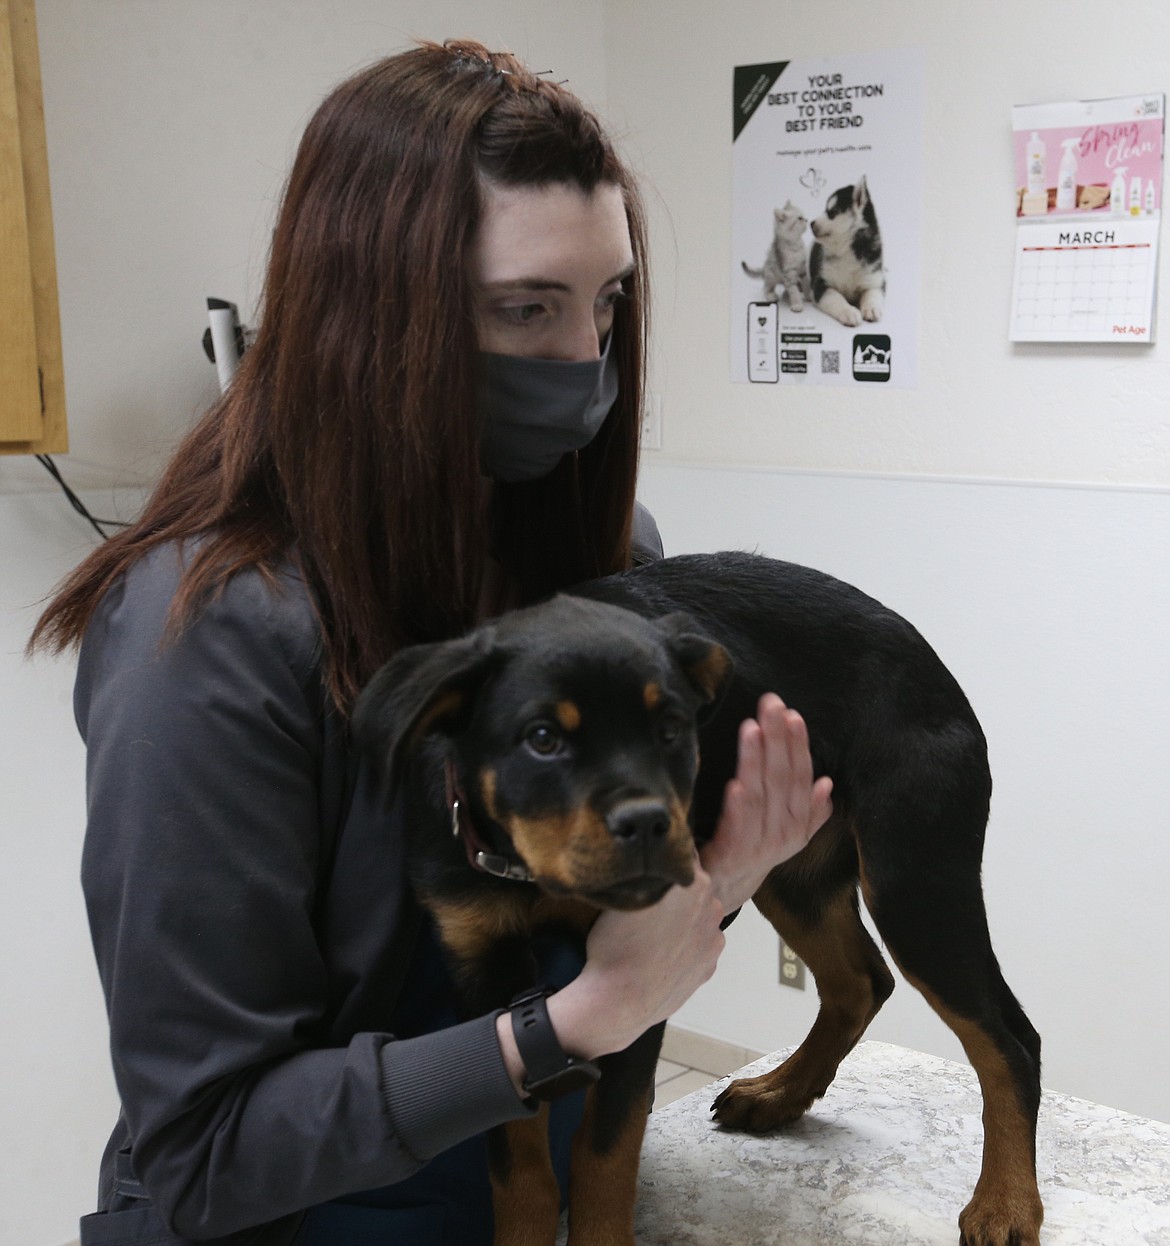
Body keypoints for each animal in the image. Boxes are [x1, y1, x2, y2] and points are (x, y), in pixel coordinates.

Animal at [353, 553, 1041, 1246]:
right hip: (794, 878)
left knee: (1010, 1040)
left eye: (673, 731)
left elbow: (604, 1154)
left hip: (912, 879)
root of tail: (936, 670)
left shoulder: (638, 982)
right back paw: (779, 1095)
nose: (649, 825)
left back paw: (1006, 1205)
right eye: (542, 738)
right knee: (860, 982)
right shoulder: (487, 977)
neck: (532, 870)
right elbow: (517, 1168)